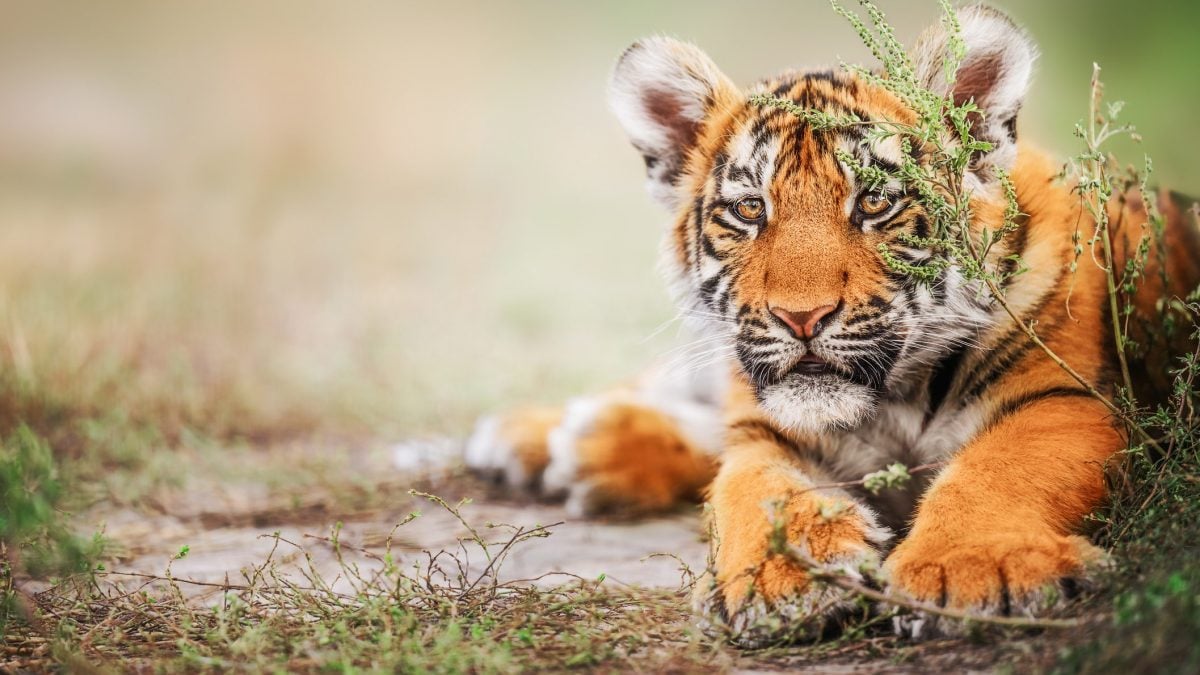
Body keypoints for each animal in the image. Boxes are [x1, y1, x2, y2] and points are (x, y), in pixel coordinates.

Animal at [465, 4, 1200, 642]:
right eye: (750, 210)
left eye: (874, 203)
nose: (801, 316)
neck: (894, 400)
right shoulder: (764, 431)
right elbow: (752, 487)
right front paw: (782, 580)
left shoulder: (1065, 397)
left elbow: (1000, 466)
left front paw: (971, 568)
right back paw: (534, 438)